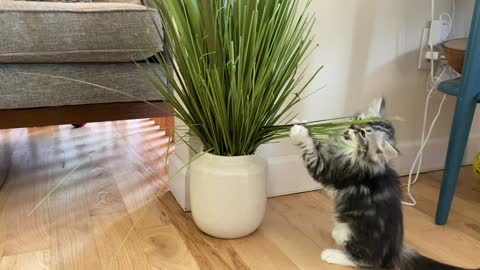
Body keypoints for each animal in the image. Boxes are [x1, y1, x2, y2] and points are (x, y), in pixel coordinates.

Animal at [290, 97, 478, 270]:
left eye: (363, 134)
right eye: (359, 120)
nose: (351, 127)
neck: (351, 152)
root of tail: (395, 251)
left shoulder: (331, 170)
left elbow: (312, 153)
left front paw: (299, 132)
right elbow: (318, 144)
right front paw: (304, 125)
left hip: (348, 231)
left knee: (366, 261)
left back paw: (332, 254)